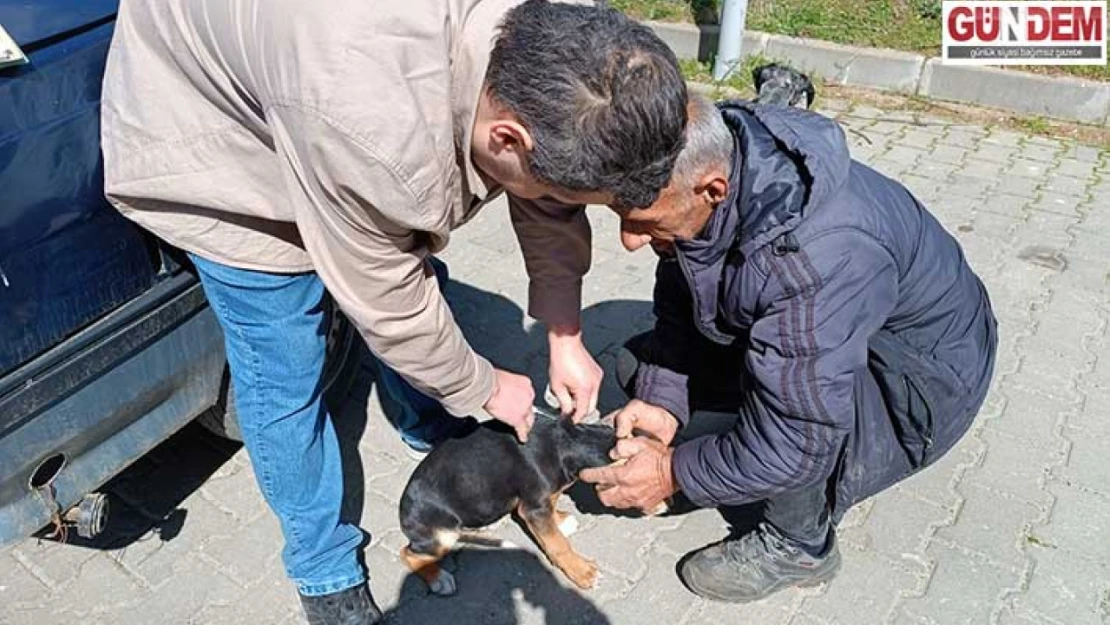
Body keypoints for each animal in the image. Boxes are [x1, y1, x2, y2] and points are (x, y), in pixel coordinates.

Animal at [399, 410, 617, 595]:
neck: (566, 441)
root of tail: (403, 516)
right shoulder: (534, 508)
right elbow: (557, 543)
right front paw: (582, 571)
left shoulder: (539, 500)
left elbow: (553, 504)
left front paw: (560, 521)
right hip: (442, 536)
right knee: (407, 554)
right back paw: (438, 578)